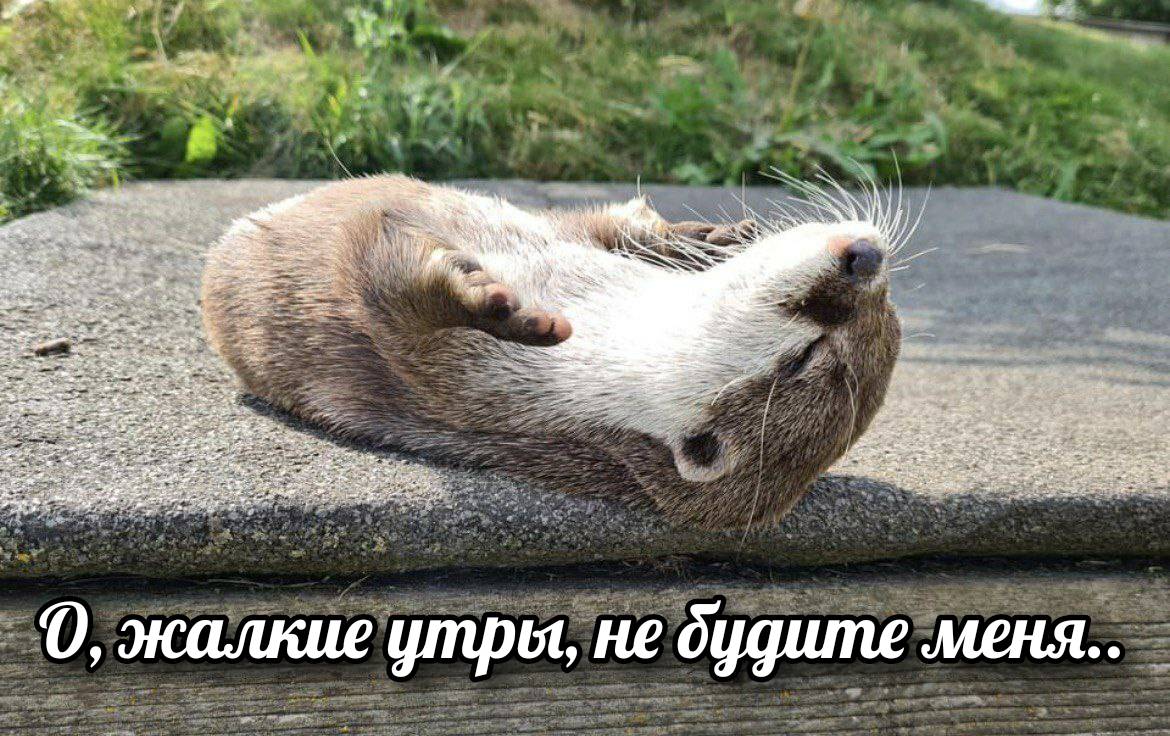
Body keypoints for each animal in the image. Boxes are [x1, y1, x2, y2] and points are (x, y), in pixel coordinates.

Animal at [201, 175, 902, 529]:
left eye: (807, 358)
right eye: (890, 308)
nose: (865, 258)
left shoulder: (447, 376)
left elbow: (383, 289)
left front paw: (495, 305)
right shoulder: (563, 238)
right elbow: (615, 222)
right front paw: (704, 236)